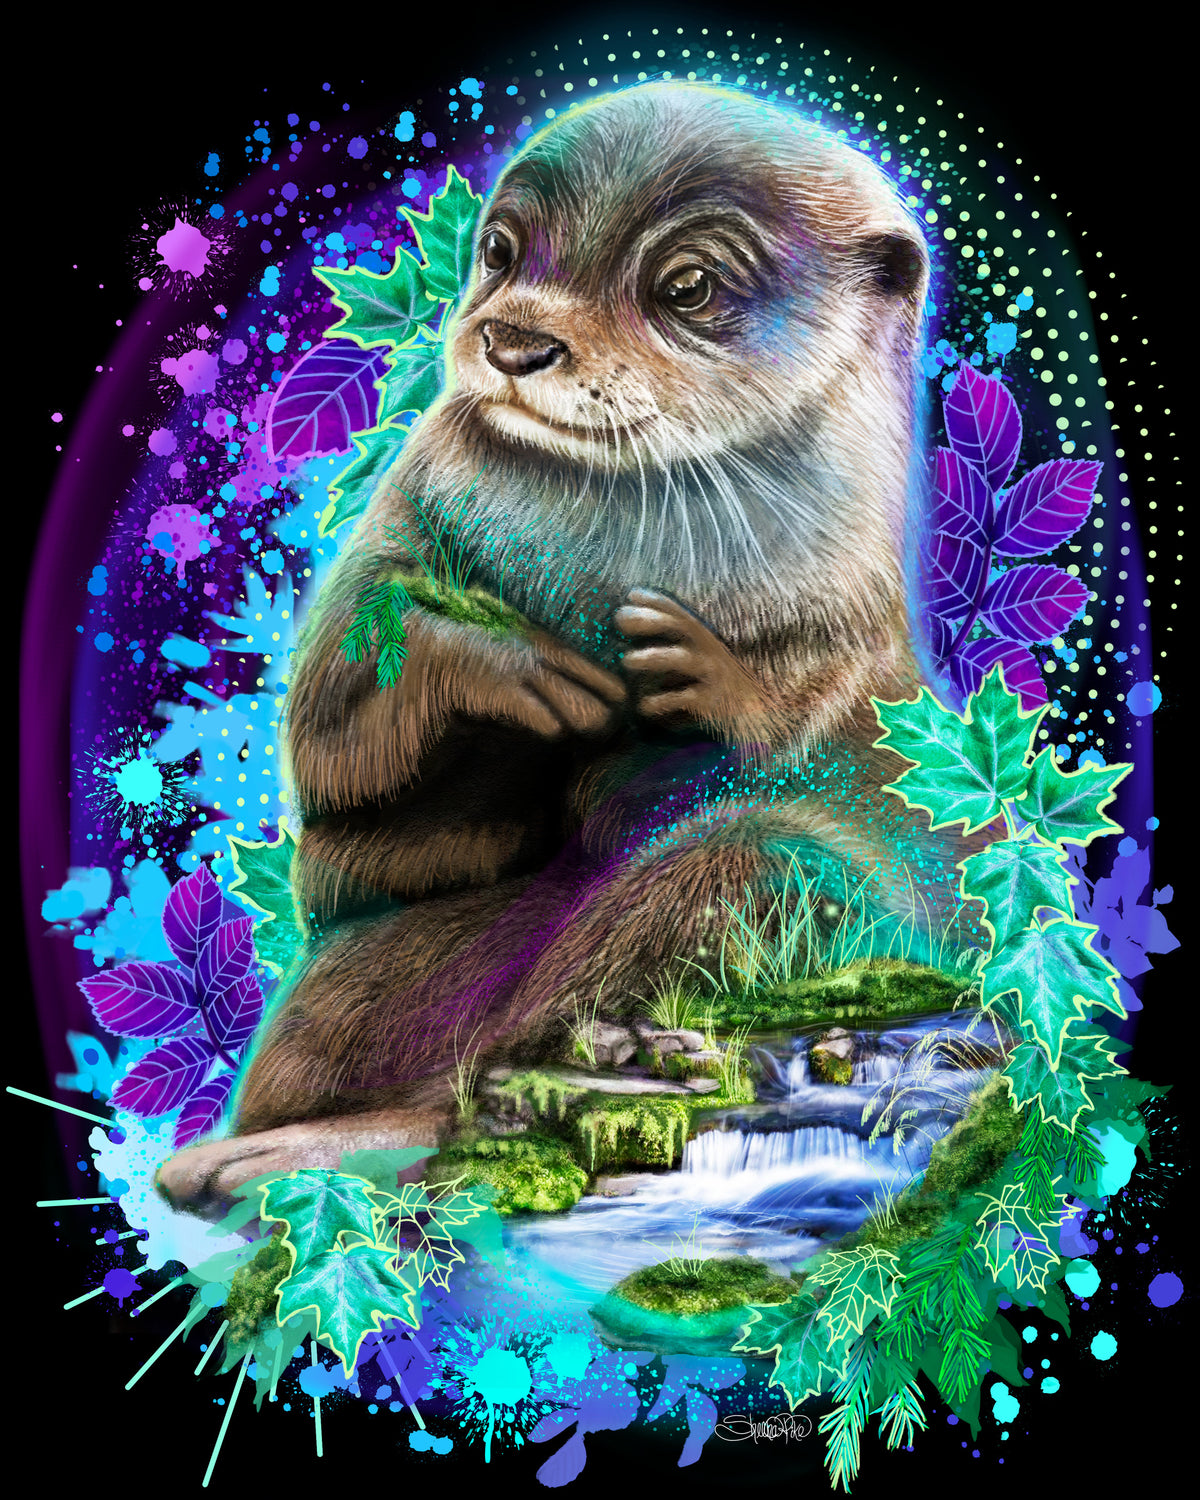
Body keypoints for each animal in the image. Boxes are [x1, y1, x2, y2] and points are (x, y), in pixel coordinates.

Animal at [159, 82, 961, 1210]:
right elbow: (338, 750)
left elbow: (794, 737)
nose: (515, 340)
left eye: (689, 284)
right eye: (499, 249)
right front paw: (518, 671)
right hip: (352, 991)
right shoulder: (392, 540)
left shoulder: (855, 635)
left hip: (760, 882)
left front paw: (705, 675)